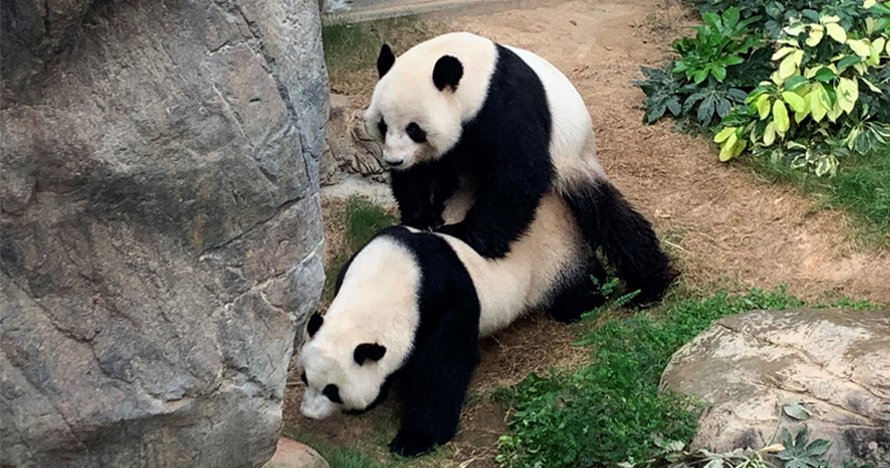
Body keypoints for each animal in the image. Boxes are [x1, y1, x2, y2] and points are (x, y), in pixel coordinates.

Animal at [298, 192, 603, 457]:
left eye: (332, 391)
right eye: (305, 378)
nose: (308, 414)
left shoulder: (445, 301)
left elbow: (443, 367)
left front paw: (414, 440)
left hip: (553, 257)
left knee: (578, 284)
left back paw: (585, 303)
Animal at [364, 31, 676, 304]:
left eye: (414, 129)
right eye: (383, 124)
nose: (394, 161)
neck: (477, 75)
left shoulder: (506, 104)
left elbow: (520, 173)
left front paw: (464, 233)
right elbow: (422, 173)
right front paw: (421, 218)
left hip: (575, 160)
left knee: (612, 220)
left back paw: (649, 286)